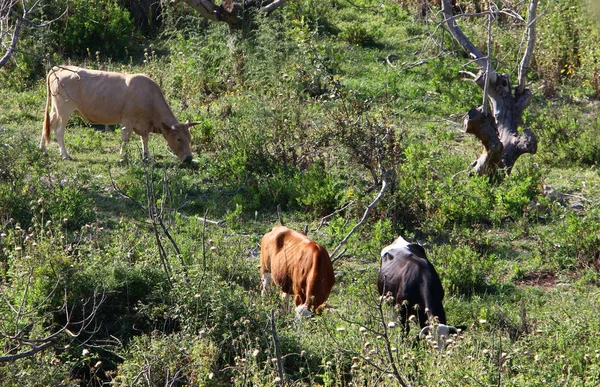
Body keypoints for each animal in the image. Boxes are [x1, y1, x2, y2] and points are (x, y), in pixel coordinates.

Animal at [40, 66, 199, 163]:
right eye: (179, 139)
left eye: (190, 138)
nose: (189, 158)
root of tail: (58, 68)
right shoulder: (128, 119)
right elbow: (125, 138)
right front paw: (122, 156)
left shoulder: (143, 124)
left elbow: (145, 139)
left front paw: (147, 156)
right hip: (65, 108)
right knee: (59, 129)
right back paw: (65, 154)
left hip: (56, 108)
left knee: (48, 123)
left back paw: (42, 149)